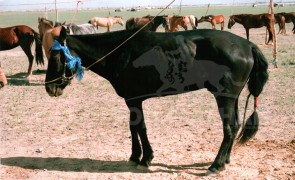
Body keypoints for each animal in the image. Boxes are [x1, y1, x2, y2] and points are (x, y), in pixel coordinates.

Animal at [45, 26, 270, 174]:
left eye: (55, 56)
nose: (49, 87)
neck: (119, 52)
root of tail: (248, 45)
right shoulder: (132, 101)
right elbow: (133, 127)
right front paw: (135, 156)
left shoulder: (134, 100)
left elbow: (139, 127)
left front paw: (145, 158)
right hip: (232, 97)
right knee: (235, 125)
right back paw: (226, 159)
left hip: (223, 97)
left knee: (229, 128)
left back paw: (216, 165)